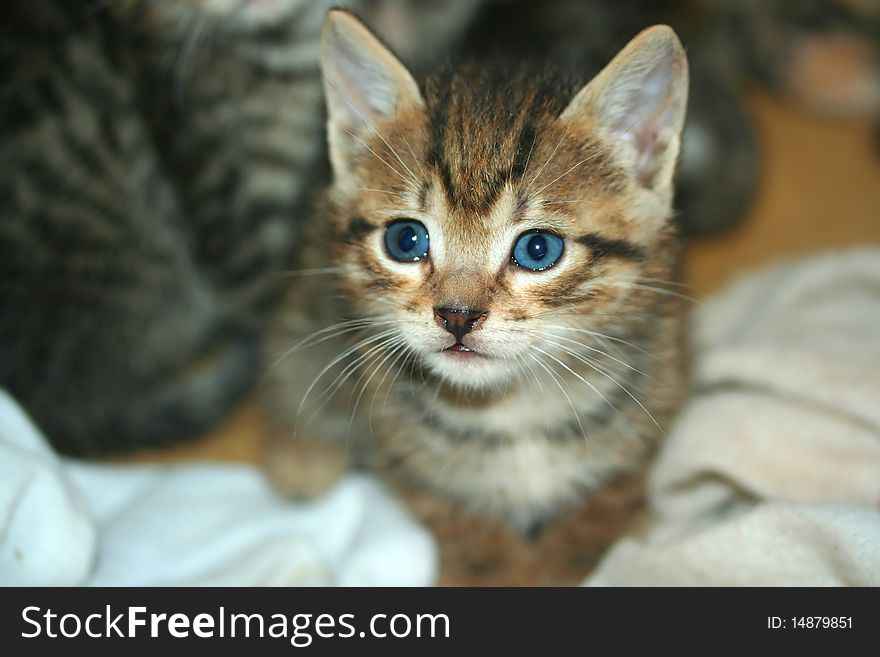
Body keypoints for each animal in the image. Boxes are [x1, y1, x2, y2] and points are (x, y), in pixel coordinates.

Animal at [264, 11, 692, 584]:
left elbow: (601, 512)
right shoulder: (403, 446)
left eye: (538, 249)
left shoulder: (658, 382)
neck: (515, 413)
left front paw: (567, 561)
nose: (457, 315)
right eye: (406, 240)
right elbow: (461, 524)